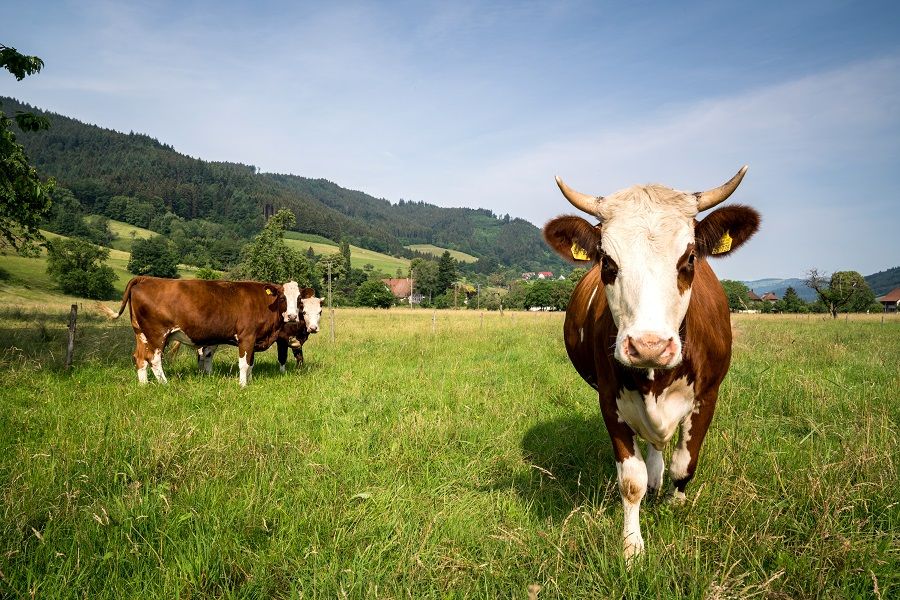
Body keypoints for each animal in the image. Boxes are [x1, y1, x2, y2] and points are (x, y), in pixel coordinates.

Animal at [99, 278, 312, 390]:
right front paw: (243, 385)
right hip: (157, 334)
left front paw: (250, 381)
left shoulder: (253, 339)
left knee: (140, 358)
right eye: (282, 297)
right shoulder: (246, 337)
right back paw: (165, 384)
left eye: (299, 299)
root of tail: (144, 278)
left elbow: (250, 363)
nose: (292, 316)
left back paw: (144, 385)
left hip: (141, 333)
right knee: (153, 359)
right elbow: (244, 363)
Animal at [540, 166, 760, 560]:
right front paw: (631, 546)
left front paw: (677, 506)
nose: (648, 346)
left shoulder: (708, 395)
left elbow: (684, 463)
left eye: (689, 258)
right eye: (608, 262)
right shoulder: (610, 402)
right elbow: (632, 481)